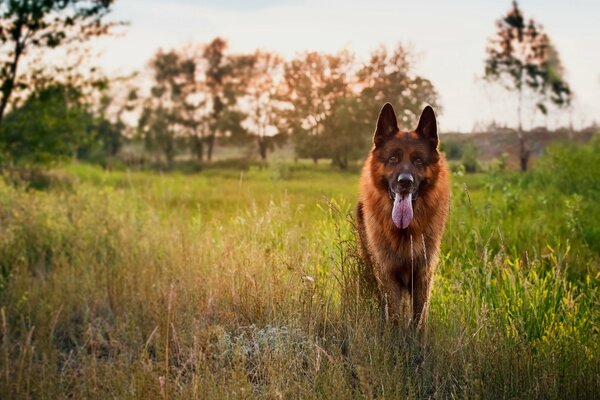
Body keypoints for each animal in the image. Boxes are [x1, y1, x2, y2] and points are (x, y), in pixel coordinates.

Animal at [356, 102, 450, 328]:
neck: (406, 231)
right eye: (393, 158)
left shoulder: (423, 276)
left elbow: (419, 320)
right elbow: (395, 318)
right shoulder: (388, 276)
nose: (405, 182)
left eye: (418, 160)